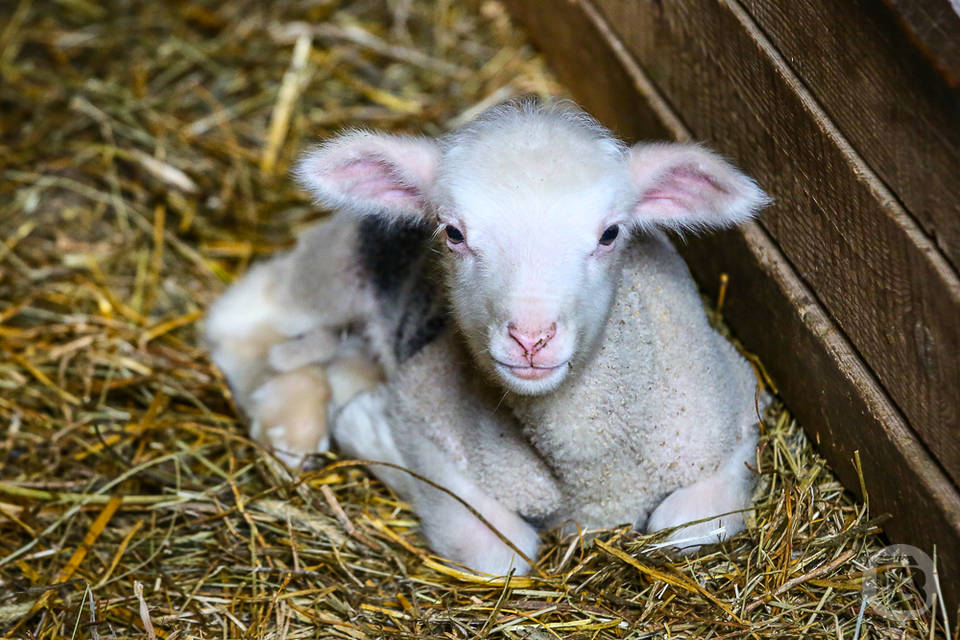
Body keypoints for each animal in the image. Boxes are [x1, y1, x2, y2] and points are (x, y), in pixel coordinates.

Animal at [204, 99, 772, 576]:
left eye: (611, 234)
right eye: (453, 233)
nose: (530, 338)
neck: (592, 470)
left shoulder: (739, 402)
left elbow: (692, 529)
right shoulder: (424, 415)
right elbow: (501, 557)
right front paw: (365, 426)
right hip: (336, 265)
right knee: (241, 317)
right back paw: (288, 424)